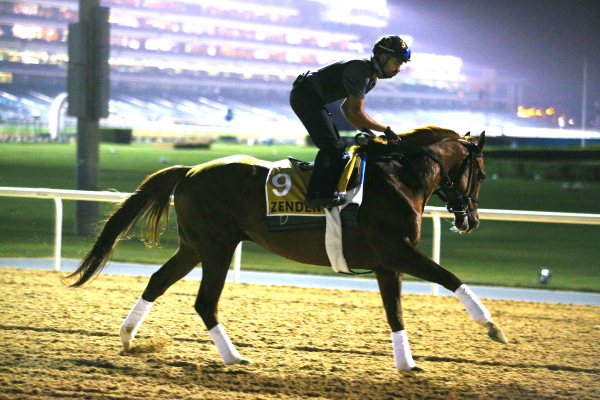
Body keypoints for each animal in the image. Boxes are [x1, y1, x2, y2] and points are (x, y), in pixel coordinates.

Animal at [65, 126, 506, 372]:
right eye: (482, 173)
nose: (470, 219)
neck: (399, 177)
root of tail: (189, 170)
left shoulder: (387, 263)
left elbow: (394, 311)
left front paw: (407, 364)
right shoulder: (396, 251)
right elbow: (450, 278)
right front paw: (493, 327)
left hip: (195, 247)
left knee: (158, 281)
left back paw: (127, 337)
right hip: (217, 247)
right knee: (205, 302)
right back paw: (234, 358)